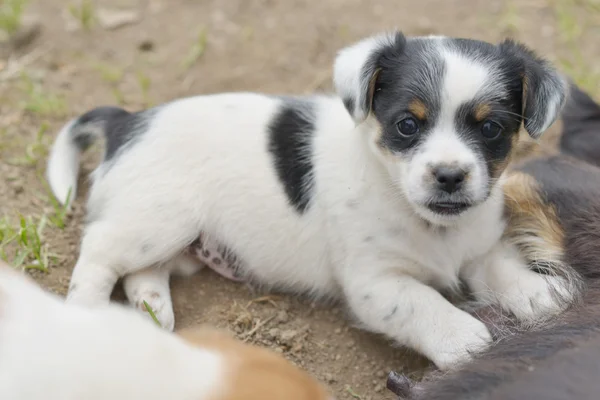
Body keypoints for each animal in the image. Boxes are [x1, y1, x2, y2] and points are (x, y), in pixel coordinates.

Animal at [47, 30, 572, 368]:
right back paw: (88, 314)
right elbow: (422, 302)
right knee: (98, 254)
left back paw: (154, 314)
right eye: (407, 124)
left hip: (178, 242)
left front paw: (535, 291)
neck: (430, 224)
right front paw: (463, 339)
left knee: (142, 274)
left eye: (491, 128)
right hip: (157, 221)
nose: (449, 176)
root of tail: (126, 122)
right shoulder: (375, 283)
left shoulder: (478, 247)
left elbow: (501, 264)